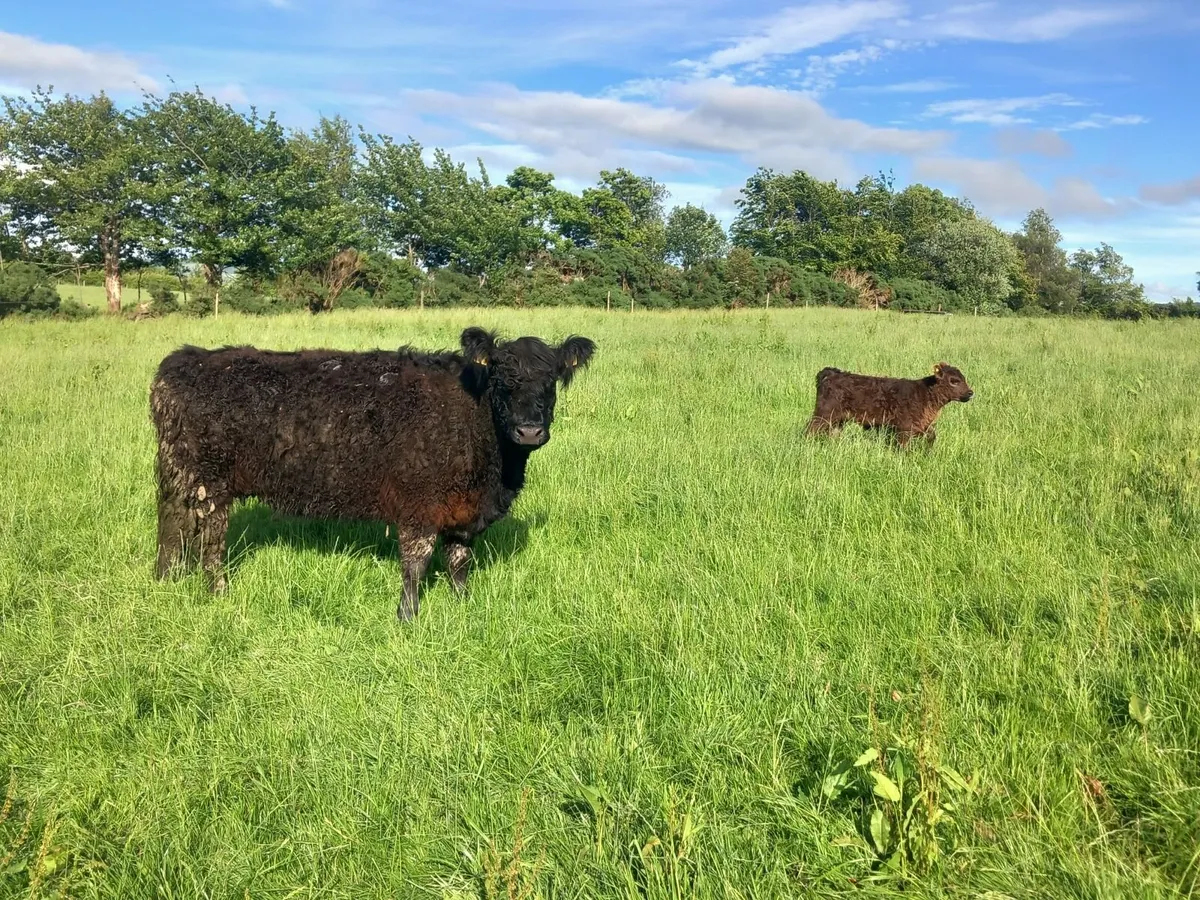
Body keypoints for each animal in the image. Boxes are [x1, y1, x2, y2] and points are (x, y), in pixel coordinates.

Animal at [149, 327, 596, 621]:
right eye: (502, 380)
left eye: (551, 382)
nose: (529, 431)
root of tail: (185, 359)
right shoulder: (419, 504)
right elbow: (416, 563)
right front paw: (407, 616)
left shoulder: (463, 509)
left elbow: (459, 562)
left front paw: (464, 606)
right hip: (209, 483)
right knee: (209, 541)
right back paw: (218, 592)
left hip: (182, 477)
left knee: (172, 528)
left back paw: (166, 581)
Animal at [804, 362, 973, 448]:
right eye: (953, 381)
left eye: (963, 378)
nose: (971, 392)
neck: (925, 393)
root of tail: (831, 374)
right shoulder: (904, 429)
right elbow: (904, 449)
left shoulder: (924, 425)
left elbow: (932, 438)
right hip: (823, 415)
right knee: (809, 430)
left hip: (838, 419)